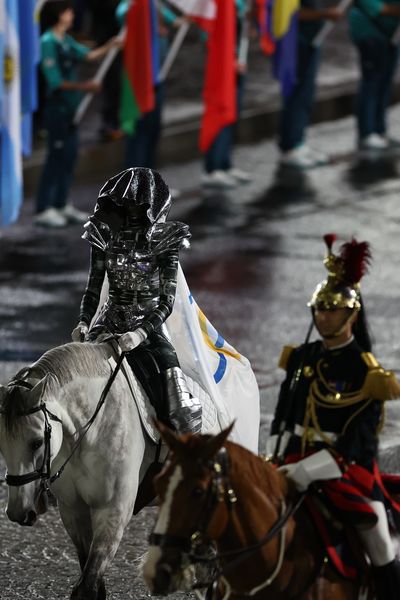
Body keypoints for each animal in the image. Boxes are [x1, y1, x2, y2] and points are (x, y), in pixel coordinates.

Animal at [0, 340, 260, 596]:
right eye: (2, 446)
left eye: (36, 442)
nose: (17, 512)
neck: (90, 428)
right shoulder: (73, 511)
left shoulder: (113, 512)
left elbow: (87, 586)